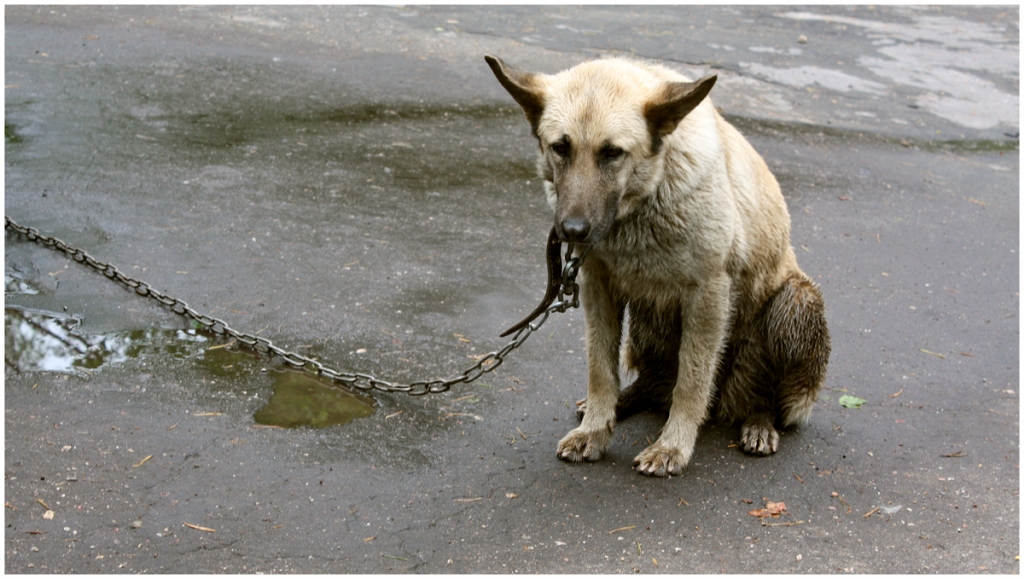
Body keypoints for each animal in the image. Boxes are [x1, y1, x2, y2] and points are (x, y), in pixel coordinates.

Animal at [485, 56, 831, 475]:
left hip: (795, 302)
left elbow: (692, 381)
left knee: (762, 396)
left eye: (612, 153)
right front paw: (595, 429)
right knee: (650, 383)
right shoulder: (599, 288)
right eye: (561, 148)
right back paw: (626, 400)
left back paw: (758, 422)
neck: (648, 195)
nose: (572, 231)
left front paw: (673, 445)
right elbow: (600, 368)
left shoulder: (708, 294)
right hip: (646, 323)